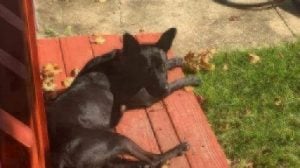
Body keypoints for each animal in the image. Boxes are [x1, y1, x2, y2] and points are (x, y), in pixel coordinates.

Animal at [46, 28, 199, 167]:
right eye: (147, 70)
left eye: (161, 66)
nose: (163, 89)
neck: (123, 63)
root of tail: (61, 157)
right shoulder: (147, 96)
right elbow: (175, 83)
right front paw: (191, 79)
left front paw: (176, 61)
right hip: (117, 140)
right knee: (154, 159)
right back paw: (178, 149)